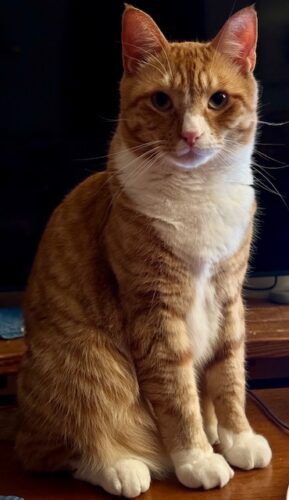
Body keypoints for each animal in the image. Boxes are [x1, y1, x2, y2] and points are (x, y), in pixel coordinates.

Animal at [17, 5, 270, 498]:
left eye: (217, 100)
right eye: (161, 101)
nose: (190, 136)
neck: (198, 191)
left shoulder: (230, 298)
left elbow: (229, 376)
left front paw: (236, 437)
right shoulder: (156, 309)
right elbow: (177, 394)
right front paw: (195, 457)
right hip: (88, 359)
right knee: (60, 448)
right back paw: (121, 466)